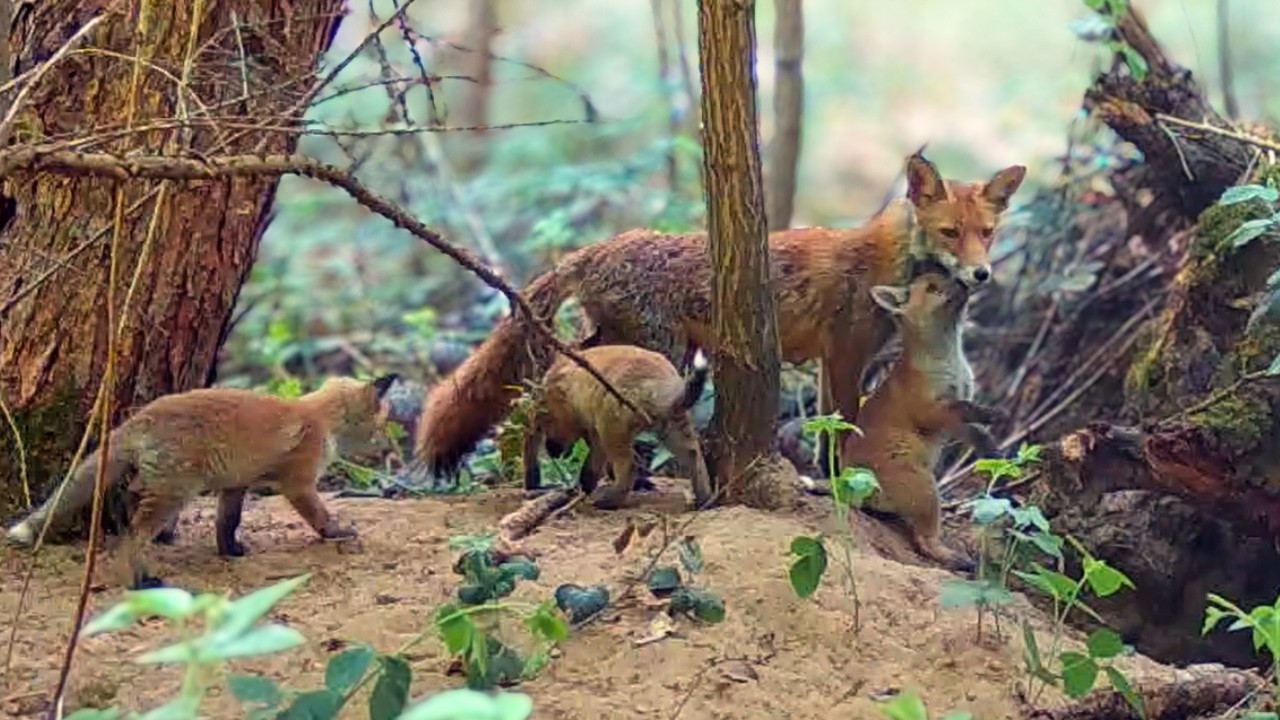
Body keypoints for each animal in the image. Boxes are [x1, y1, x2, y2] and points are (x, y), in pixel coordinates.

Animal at [5, 374, 398, 589]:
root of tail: (142, 415)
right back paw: (139, 582)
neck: (318, 417)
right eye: (382, 424)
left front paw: (230, 551)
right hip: (177, 490)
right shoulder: (298, 483)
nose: (389, 448)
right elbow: (319, 516)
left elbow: (227, 522)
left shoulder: (236, 483)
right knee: (133, 536)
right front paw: (338, 533)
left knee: (128, 504)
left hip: (163, 483)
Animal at [406, 150, 1025, 485]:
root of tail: (603, 246)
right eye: (950, 232)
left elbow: (832, 424)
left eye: (987, 233)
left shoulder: (835, 360)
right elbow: (844, 425)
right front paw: (844, 481)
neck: (883, 261)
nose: (981, 275)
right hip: (663, 353)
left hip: (621, 344)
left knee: (542, 396)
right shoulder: (846, 355)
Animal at [522, 344, 712, 510]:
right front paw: (582, 489)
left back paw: (609, 501)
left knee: (629, 465)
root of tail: (665, 386)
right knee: (693, 454)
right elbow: (591, 467)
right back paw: (705, 500)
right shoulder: (593, 430)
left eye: (548, 427)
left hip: (611, 423)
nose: (553, 452)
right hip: (674, 424)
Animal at [841, 272, 1003, 572]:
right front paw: (990, 413)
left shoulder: (951, 422)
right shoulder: (931, 413)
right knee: (924, 541)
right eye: (931, 288)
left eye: (948, 277)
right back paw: (956, 559)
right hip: (927, 489)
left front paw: (993, 451)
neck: (950, 360)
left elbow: (975, 431)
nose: (966, 281)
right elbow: (964, 408)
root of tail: (851, 482)